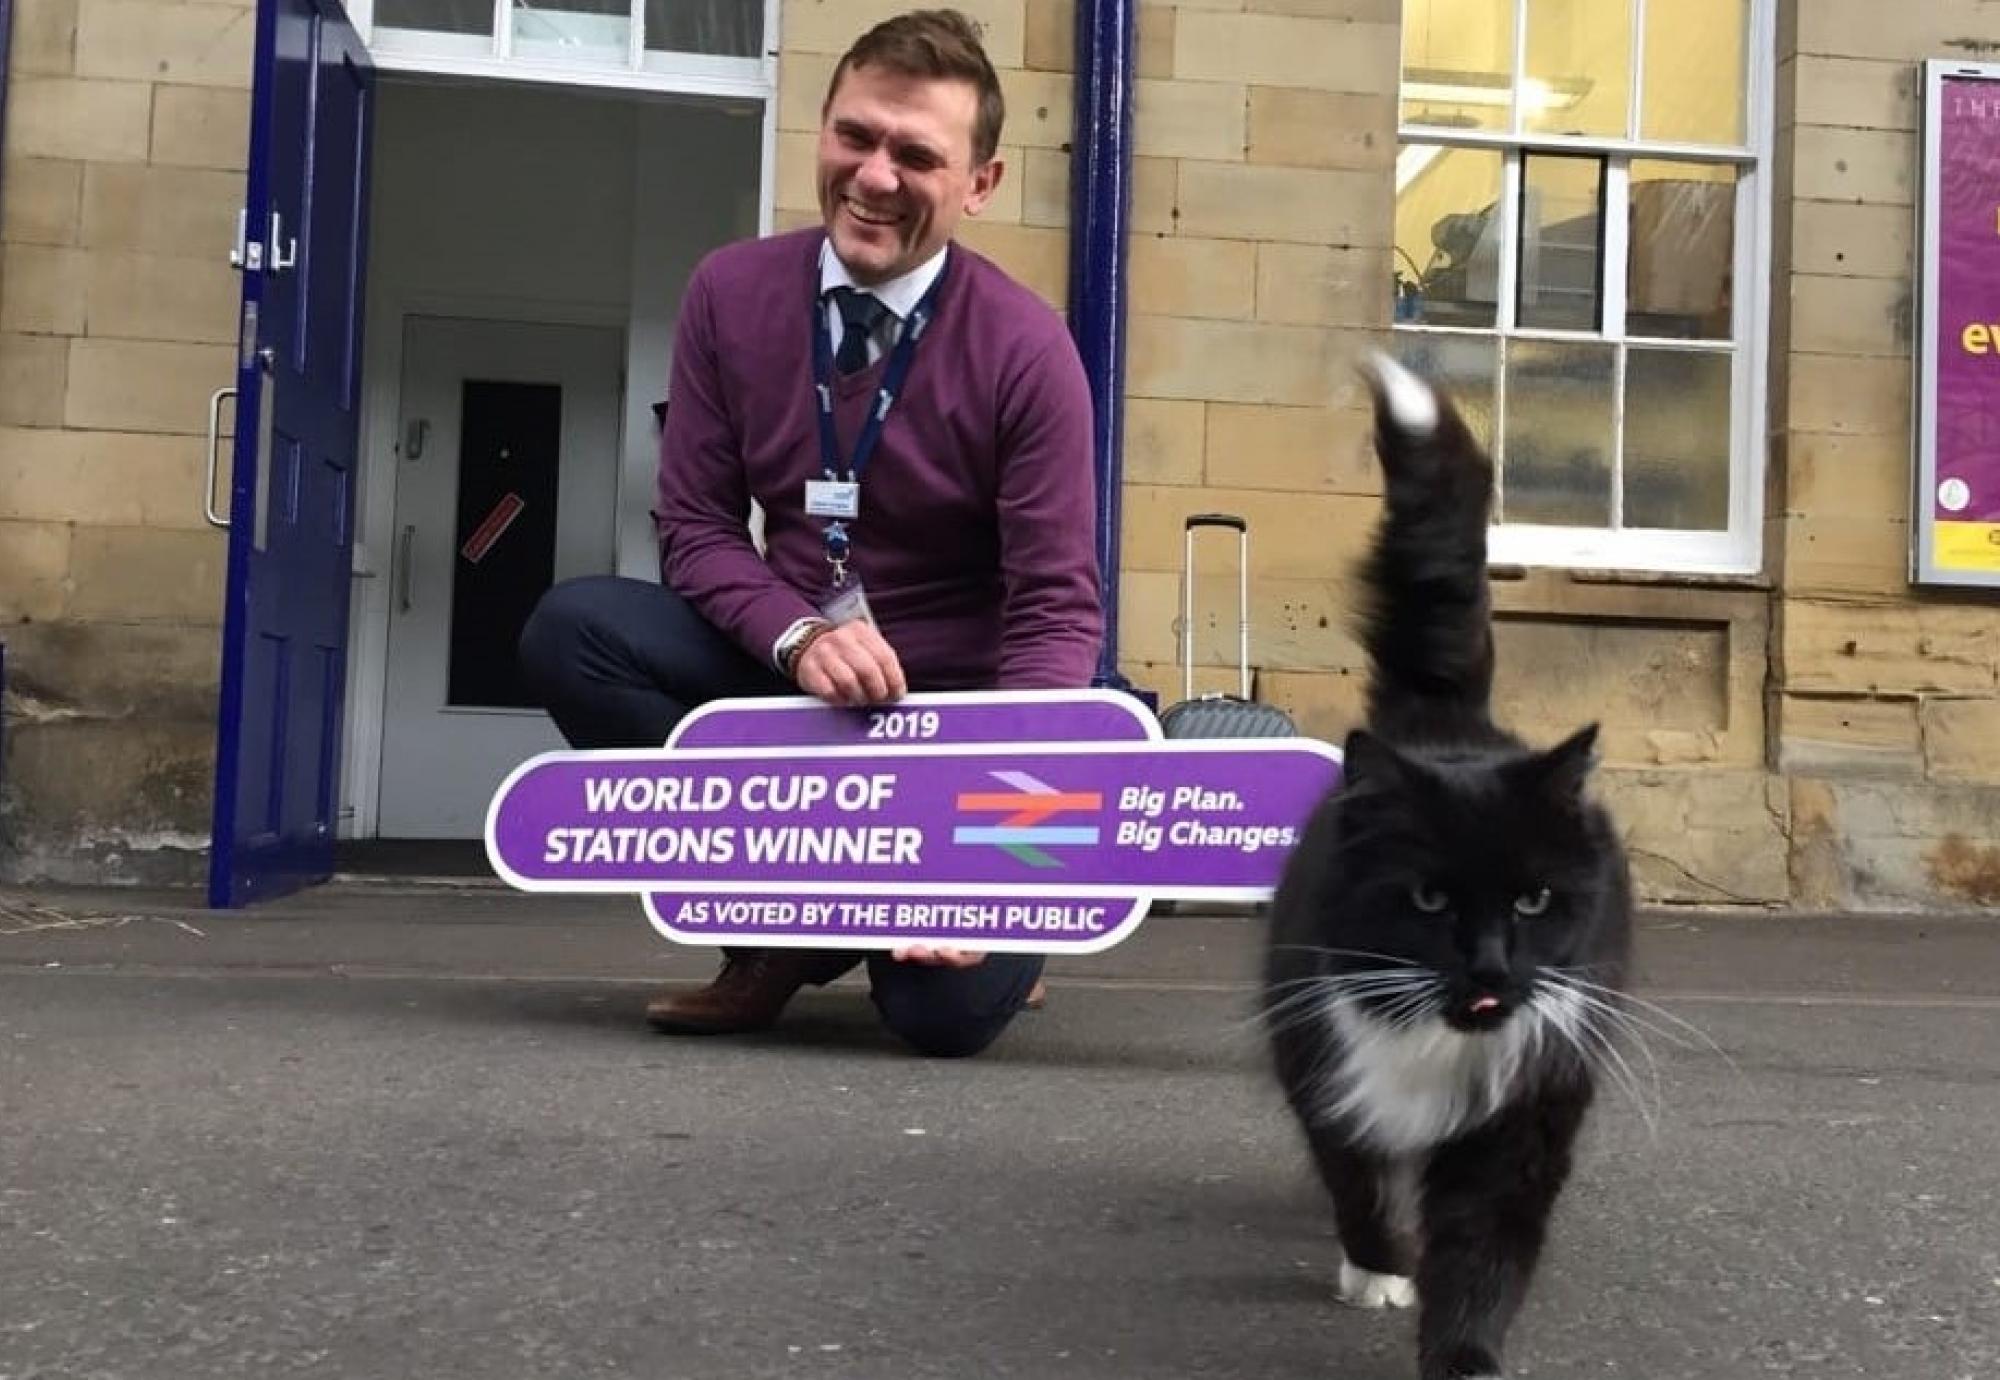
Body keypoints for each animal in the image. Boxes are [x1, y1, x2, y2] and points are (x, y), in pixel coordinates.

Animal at [1272, 354, 1632, 1376]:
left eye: (1535, 900)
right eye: (1429, 899)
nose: (1490, 971)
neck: (1439, 1042)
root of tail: (1445, 720)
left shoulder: (1529, 1104)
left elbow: (1484, 1249)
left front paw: (1464, 1355)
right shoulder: (1320, 1054)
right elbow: (1351, 1170)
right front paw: (1379, 1268)